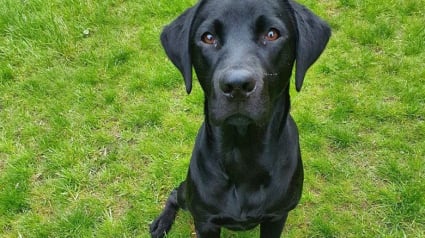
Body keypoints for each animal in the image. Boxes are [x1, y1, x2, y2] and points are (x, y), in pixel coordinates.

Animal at [151, 0, 330, 237]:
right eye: (208, 37)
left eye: (272, 34)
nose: (236, 85)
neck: (243, 153)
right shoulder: (205, 221)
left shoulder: (277, 216)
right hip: (187, 195)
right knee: (174, 193)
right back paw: (161, 222)